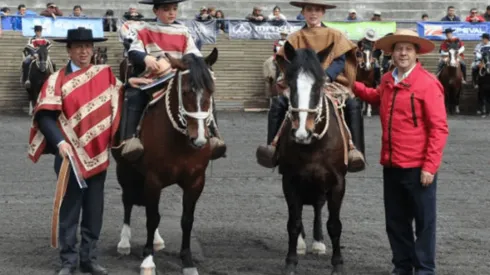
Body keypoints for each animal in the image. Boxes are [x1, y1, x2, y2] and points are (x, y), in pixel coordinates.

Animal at [112, 48, 219, 275]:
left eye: (211, 91)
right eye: (185, 92)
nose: (199, 139)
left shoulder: (196, 181)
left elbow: (186, 220)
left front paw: (187, 261)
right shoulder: (153, 179)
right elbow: (152, 217)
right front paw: (147, 259)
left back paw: (157, 240)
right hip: (124, 169)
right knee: (128, 200)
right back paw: (124, 242)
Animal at [274, 40, 350, 275]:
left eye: (318, 85)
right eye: (291, 84)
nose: (301, 133)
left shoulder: (337, 182)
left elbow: (334, 224)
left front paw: (338, 264)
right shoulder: (290, 180)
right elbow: (293, 222)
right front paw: (290, 262)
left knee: (317, 206)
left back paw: (318, 242)